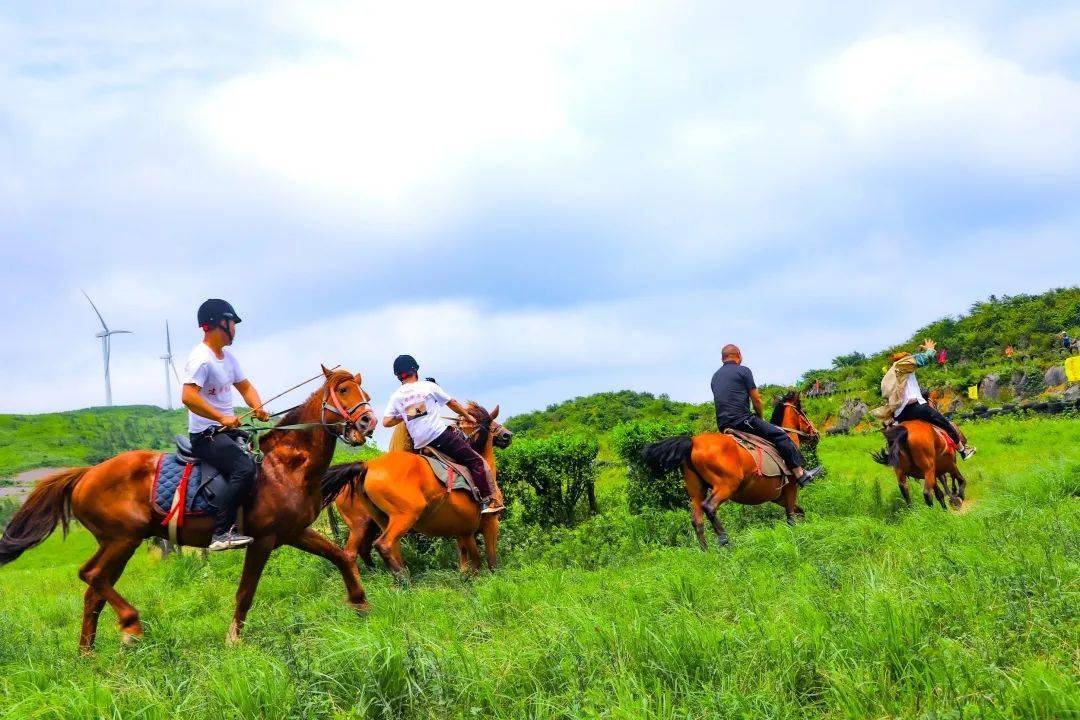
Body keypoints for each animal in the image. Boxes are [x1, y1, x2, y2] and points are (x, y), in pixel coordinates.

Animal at [0, 369, 380, 651]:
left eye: (364, 391)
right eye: (343, 390)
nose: (368, 423)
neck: (284, 465)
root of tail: (86, 474)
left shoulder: (294, 532)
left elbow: (341, 556)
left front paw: (360, 603)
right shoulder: (263, 539)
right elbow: (246, 592)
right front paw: (233, 640)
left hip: (118, 543)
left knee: (94, 590)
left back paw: (88, 655)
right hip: (122, 538)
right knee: (91, 576)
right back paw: (130, 625)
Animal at [330, 405, 511, 578]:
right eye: (492, 422)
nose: (507, 435)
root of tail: (367, 467)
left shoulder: (464, 530)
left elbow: (468, 557)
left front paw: (467, 574)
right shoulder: (490, 522)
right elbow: (491, 560)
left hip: (377, 521)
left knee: (378, 549)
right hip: (395, 517)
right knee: (375, 547)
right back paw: (402, 579)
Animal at [639, 390, 816, 548]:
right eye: (804, 412)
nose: (815, 434)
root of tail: (692, 442)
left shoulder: (776, 496)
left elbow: (798, 511)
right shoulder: (791, 487)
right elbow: (791, 516)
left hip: (696, 490)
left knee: (697, 520)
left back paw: (706, 552)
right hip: (726, 486)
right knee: (709, 507)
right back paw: (725, 540)